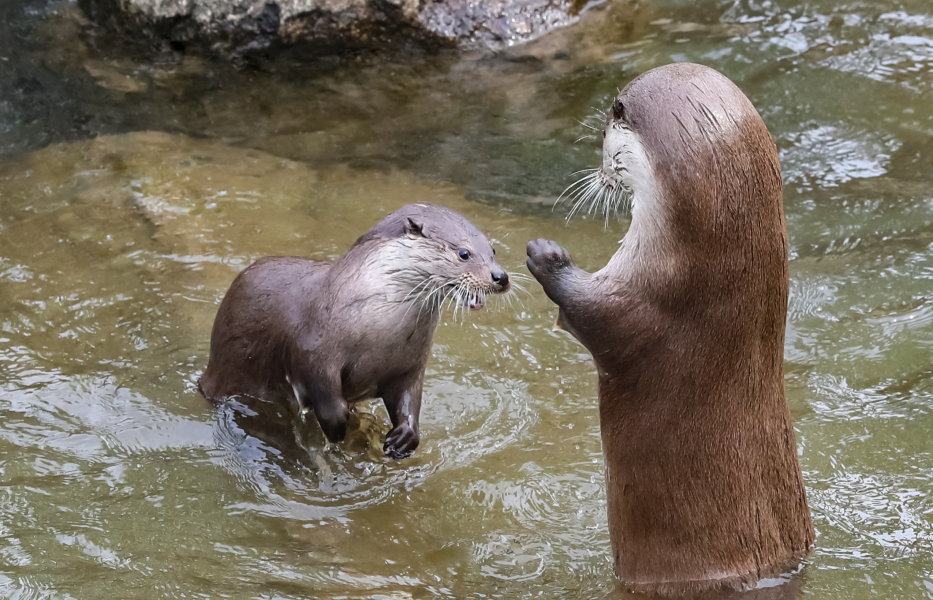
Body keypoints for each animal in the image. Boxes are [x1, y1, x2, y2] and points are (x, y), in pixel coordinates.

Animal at [200, 203, 510, 460]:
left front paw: (404, 437)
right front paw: (337, 427)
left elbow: (409, 400)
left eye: (493, 251)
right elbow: (323, 393)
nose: (501, 276)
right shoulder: (312, 351)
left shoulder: (410, 366)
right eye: (464, 253)